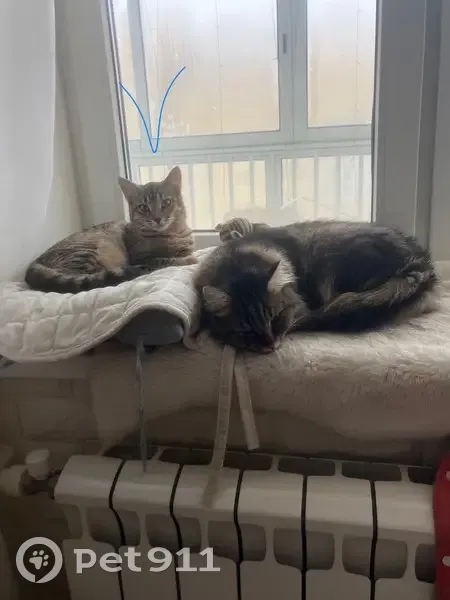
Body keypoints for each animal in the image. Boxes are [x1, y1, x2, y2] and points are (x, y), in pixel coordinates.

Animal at [25, 166, 196, 293]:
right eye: (143, 207)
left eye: (166, 202)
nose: (157, 218)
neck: (173, 233)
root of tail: (35, 263)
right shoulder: (142, 258)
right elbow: (166, 259)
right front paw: (188, 260)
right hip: (88, 251)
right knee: (85, 279)